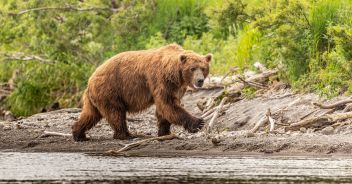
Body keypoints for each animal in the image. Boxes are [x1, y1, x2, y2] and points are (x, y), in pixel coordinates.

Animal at [71, 43, 212, 142]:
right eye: (192, 68)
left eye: (203, 68)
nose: (200, 80)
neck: (176, 76)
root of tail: (90, 80)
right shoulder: (160, 81)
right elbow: (168, 106)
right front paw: (198, 122)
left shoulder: (176, 88)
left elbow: (165, 108)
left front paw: (164, 131)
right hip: (110, 90)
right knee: (115, 113)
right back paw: (125, 134)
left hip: (97, 97)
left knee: (90, 114)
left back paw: (79, 134)